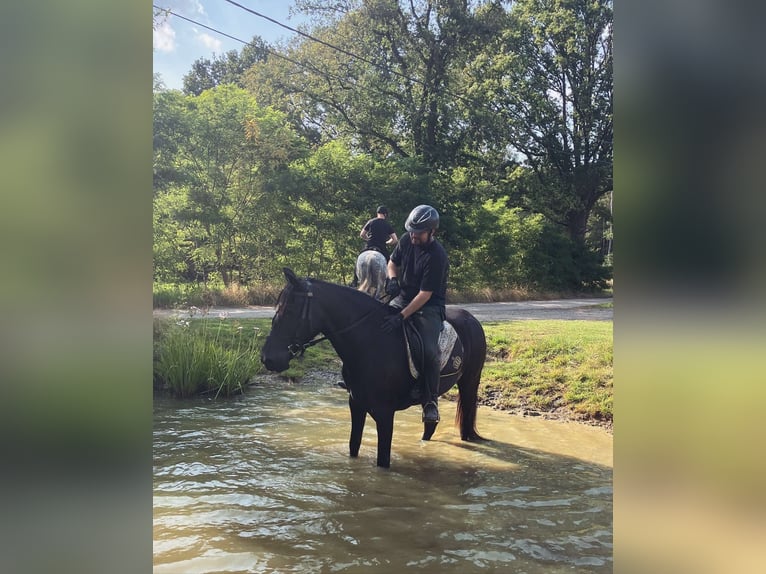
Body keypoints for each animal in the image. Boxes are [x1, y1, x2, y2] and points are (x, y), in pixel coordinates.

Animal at [258, 268, 486, 470]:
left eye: (289, 311)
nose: (268, 358)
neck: (370, 341)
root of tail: (472, 319)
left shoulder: (385, 414)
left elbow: (382, 460)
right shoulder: (356, 405)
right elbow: (353, 446)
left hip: (469, 382)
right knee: (430, 426)